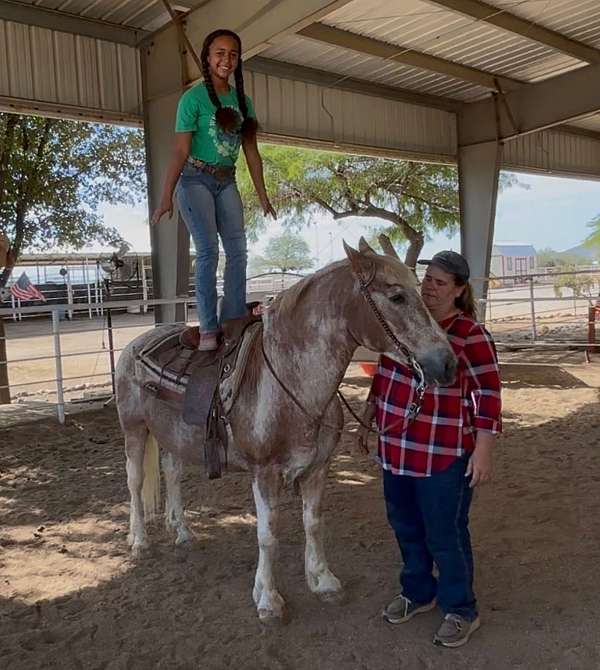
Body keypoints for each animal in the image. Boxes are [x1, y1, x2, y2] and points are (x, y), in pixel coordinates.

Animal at [115, 238, 457, 621]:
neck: (292, 382)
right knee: (134, 481)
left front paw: (323, 580)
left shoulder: (318, 468)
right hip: (134, 428)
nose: (448, 363)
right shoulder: (264, 473)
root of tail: (138, 342)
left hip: (171, 435)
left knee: (172, 472)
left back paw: (182, 531)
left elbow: (313, 523)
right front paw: (268, 599)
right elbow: (268, 534)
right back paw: (139, 541)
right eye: (397, 297)